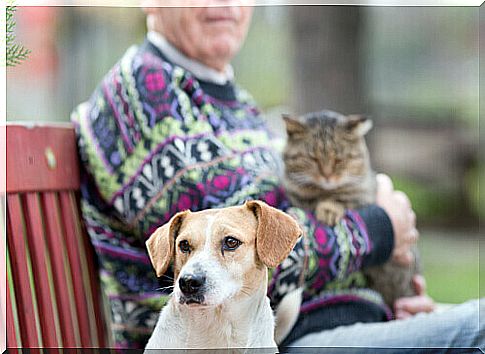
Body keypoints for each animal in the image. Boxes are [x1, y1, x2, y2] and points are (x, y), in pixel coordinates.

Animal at [282, 110, 418, 310]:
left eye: (339, 160)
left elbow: (343, 198)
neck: (323, 192)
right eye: (313, 158)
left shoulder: (364, 195)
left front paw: (328, 208)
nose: (327, 176)